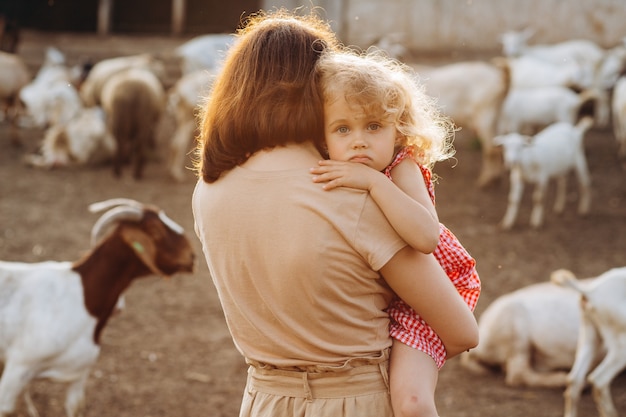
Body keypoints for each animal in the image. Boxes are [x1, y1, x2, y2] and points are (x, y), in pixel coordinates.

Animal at [0, 197, 195, 416]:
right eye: (155, 230)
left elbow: (74, 407)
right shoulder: (18, 368)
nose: (192, 256)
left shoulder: (79, 374)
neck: (84, 298)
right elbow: (7, 407)